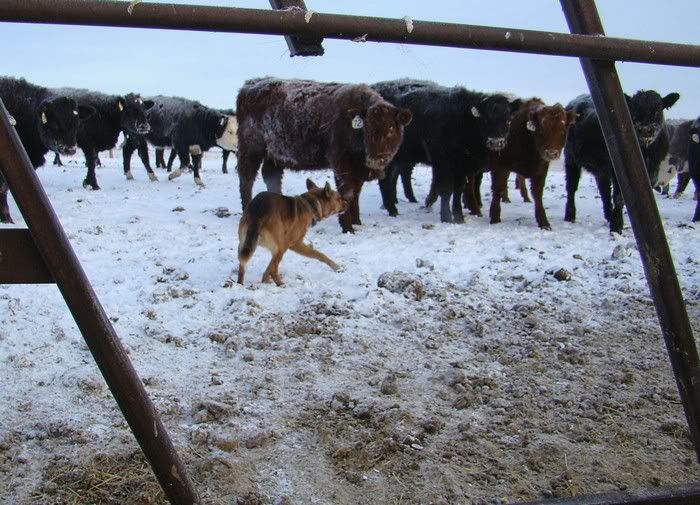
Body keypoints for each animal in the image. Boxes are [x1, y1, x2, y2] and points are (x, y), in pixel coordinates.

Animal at [236, 77, 412, 233]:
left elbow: (356, 193)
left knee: (271, 176)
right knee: (246, 178)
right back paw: (247, 210)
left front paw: (357, 222)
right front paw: (348, 228)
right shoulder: (342, 166)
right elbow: (347, 193)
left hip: (273, 154)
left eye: (391, 129)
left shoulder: (358, 169)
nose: (374, 161)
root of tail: (250, 85)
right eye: (367, 129)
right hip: (250, 151)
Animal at [371, 79, 520, 223]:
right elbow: (446, 190)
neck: (462, 120)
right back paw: (392, 209)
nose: (496, 141)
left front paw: (459, 217)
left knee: (389, 179)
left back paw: (393, 209)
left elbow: (458, 190)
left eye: (508, 120)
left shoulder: (461, 167)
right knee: (387, 180)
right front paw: (446, 217)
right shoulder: (443, 164)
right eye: (485, 119)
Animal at [485, 98, 575, 229]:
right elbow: (497, 189)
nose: (551, 153)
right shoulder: (499, 165)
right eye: (541, 128)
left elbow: (537, 194)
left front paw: (544, 222)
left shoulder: (541, 170)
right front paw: (495, 218)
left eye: (563, 130)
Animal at [563, 90, 679, 234]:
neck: (645, 153)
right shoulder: (618, 171)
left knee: (604, 191)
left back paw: (608, 216)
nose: (645, 129)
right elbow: (619, 196)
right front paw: (617, 226)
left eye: (658, 108)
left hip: (600, 169)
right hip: (570, 158)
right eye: (633, 108)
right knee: (571, 188)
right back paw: (570, 216)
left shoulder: (653, 172)